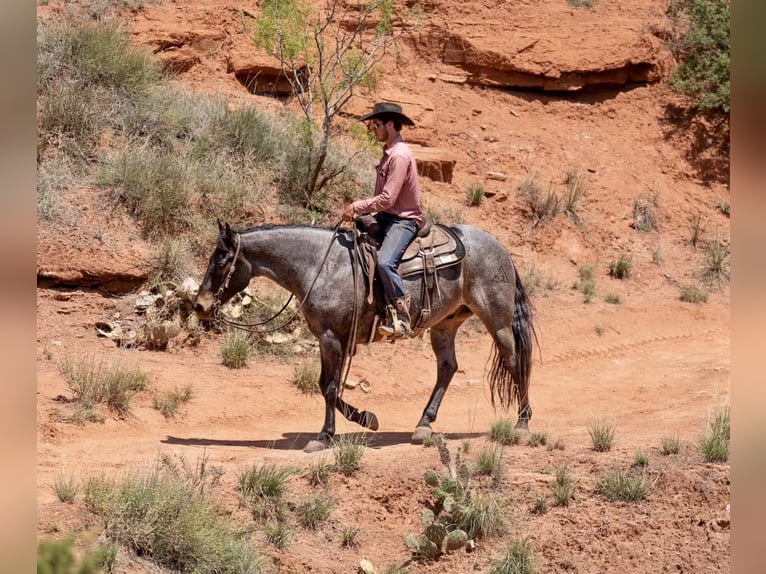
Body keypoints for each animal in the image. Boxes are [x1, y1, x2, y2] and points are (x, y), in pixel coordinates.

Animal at [195, 223, 536, 452]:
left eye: (221, 260)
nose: (199, 305)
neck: (321, 266)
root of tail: (500, 248)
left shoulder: (332, 338)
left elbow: (330, 388)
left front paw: (325, 436)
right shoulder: (332, 339)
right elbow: (327, 385)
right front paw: (365, 418)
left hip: (497, 320)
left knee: (514, 362)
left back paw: (521, 424)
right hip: (445, 324)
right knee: (448, 367)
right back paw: (423, 425)